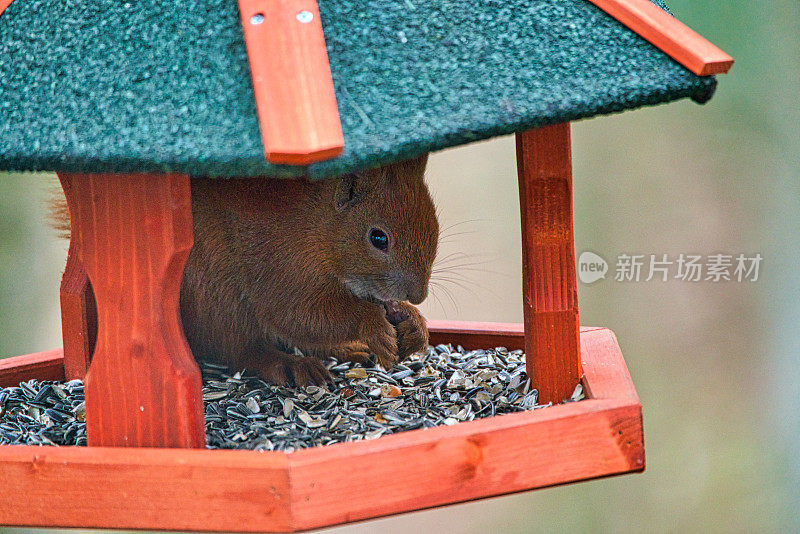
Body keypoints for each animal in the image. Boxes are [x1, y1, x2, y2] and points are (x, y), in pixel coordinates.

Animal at [51, 155, 438, 386]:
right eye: (378, 238)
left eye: (434, 223)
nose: (418, 294)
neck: (319, 227)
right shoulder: (279, 264)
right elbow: (299, 314)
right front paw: (372, 324)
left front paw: (412, 322)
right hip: (213, 296)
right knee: (241, 350)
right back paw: (290, 364)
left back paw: (346, 350)